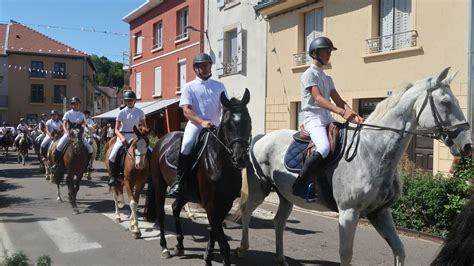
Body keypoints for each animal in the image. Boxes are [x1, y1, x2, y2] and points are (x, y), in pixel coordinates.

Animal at [146, 90, 252, 266]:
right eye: (227, 124)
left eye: (248, 122)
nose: (240, 158)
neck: (219, 162)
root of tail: (162, 140)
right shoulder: (211, 205)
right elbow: (224, 244)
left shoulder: (225, 204)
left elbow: (213, 232)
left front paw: (207, 256)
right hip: (159, 184)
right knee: (161, 213)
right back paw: (165, 248)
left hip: (185, 193)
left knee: (175, 208)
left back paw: (179, 245)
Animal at [235, 67, 472, 266]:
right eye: (445, 102)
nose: (467, 145)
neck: (373, 151)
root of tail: (262, 138)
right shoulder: (348, 213)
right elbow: (346, 254)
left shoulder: (380, 212)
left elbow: (399, 250)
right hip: (260, 190)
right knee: (246, 212)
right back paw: (242, 249)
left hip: (286, 197)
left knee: (278, 222)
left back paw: (281, 259)